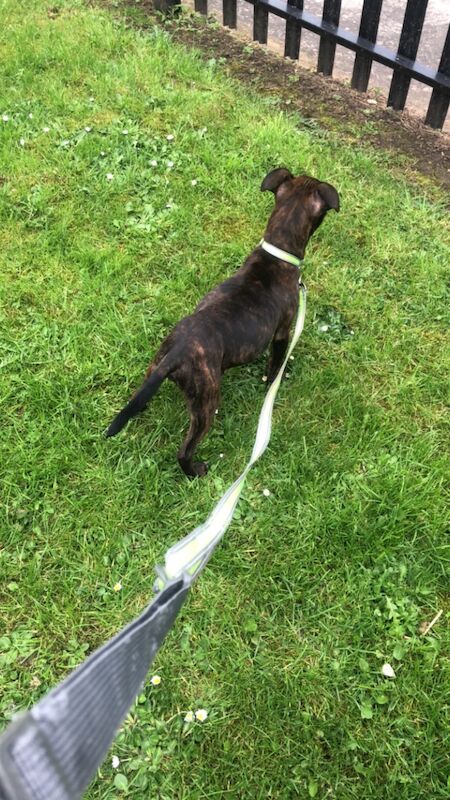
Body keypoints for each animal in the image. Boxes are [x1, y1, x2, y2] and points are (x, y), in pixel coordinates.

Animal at [106, 168, 338, 476]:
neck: (277, 250)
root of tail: (177, 355)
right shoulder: (282, 333)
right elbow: (275, 365)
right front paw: (274, 382)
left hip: (155, 364)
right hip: (206, 402)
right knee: (185, 448)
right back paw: (195, 471)